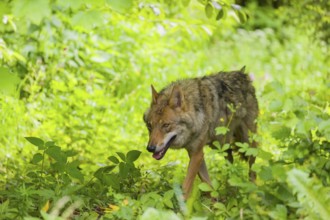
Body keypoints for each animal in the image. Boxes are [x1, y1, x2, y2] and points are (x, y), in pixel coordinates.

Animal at [143, 66, 260, 198]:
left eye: (166, 125)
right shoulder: (194, 153)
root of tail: (242, 73)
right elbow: (207, 184)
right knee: (230, 160)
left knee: (252, 170)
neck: (196, 110)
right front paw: (214, 202)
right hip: (221, 145)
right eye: (150, 126)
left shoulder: (197, 154)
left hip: (247, 144)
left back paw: (252, 195)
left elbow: (186, 186)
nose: (150, 148)